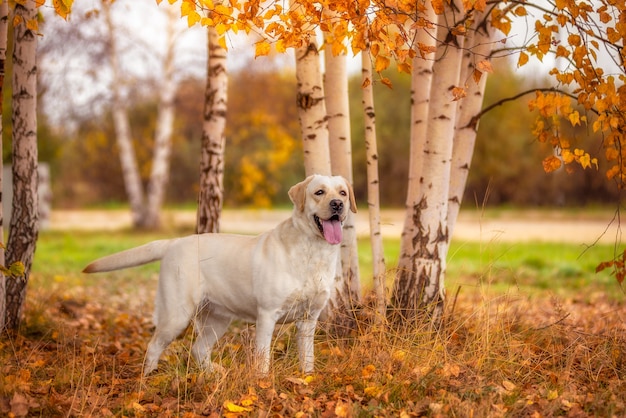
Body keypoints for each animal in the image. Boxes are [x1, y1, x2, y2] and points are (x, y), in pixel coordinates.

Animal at [83, 173, 356, 376]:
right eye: (319, 192)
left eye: (342, 192)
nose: (338, 205)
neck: (313, 251)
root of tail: (174, 242)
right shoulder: (267, 315)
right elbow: (263, 358)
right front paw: (263, 383)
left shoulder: (309, 318)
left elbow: (307, 356)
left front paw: (307, 379)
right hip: (176, 315)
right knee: (153, 346)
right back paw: (147, 379)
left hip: (217, 319)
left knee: (198, 349)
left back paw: (212, 374)